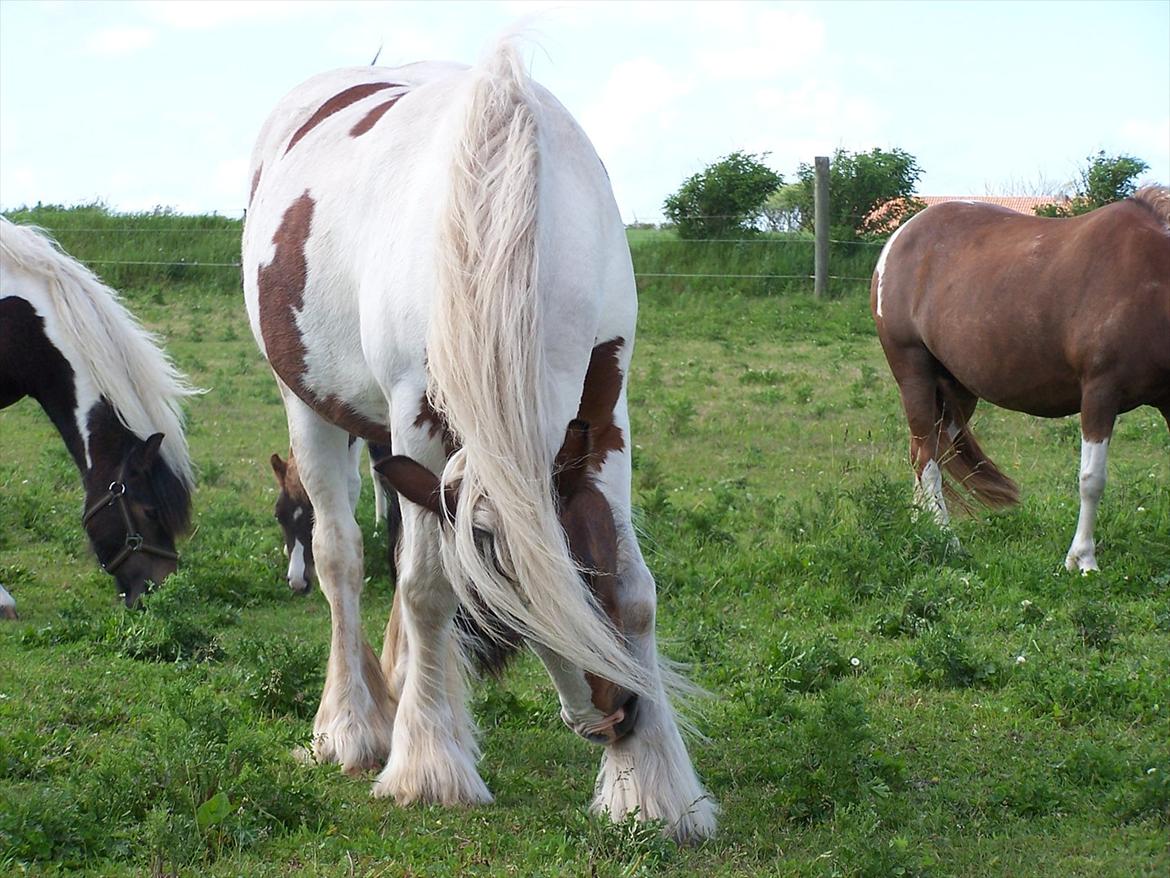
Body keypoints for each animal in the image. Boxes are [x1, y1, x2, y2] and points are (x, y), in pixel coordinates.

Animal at [242, 37, 711, 842]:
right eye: (504, 608)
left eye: (585, 574)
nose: (613, 718)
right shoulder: (417, 413)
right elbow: (426, 587)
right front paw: (430, 768)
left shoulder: (606, 403)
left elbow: (638, 591)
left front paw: (651, 787)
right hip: (310, 406)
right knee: (342, 559)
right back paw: (353, 726)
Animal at [875, 187, 1170, 571]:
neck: (1151, 283)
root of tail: (897, 240)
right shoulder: (1101, 393)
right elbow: (1092, 480)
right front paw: (1082, 559)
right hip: (914, 374)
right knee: (927, 457)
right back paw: (946, 539)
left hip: (957, 391)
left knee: (926, 450)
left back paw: (920, 526)